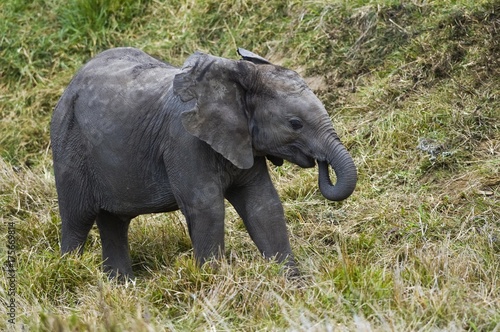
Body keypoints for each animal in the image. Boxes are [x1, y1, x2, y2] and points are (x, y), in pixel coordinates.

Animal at [49, 46, 356, 278]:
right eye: (295, 124)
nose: (321, 164)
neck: (232, 78)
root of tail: (68, 87)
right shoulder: (184, 142)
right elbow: (207, 207)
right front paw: (212, 281)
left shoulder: (242, 142)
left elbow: (263, 205)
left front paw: (292, 284)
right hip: (68, 147)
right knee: (77, 220)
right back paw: (69, 276)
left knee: (114, 222)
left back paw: (122, 286)